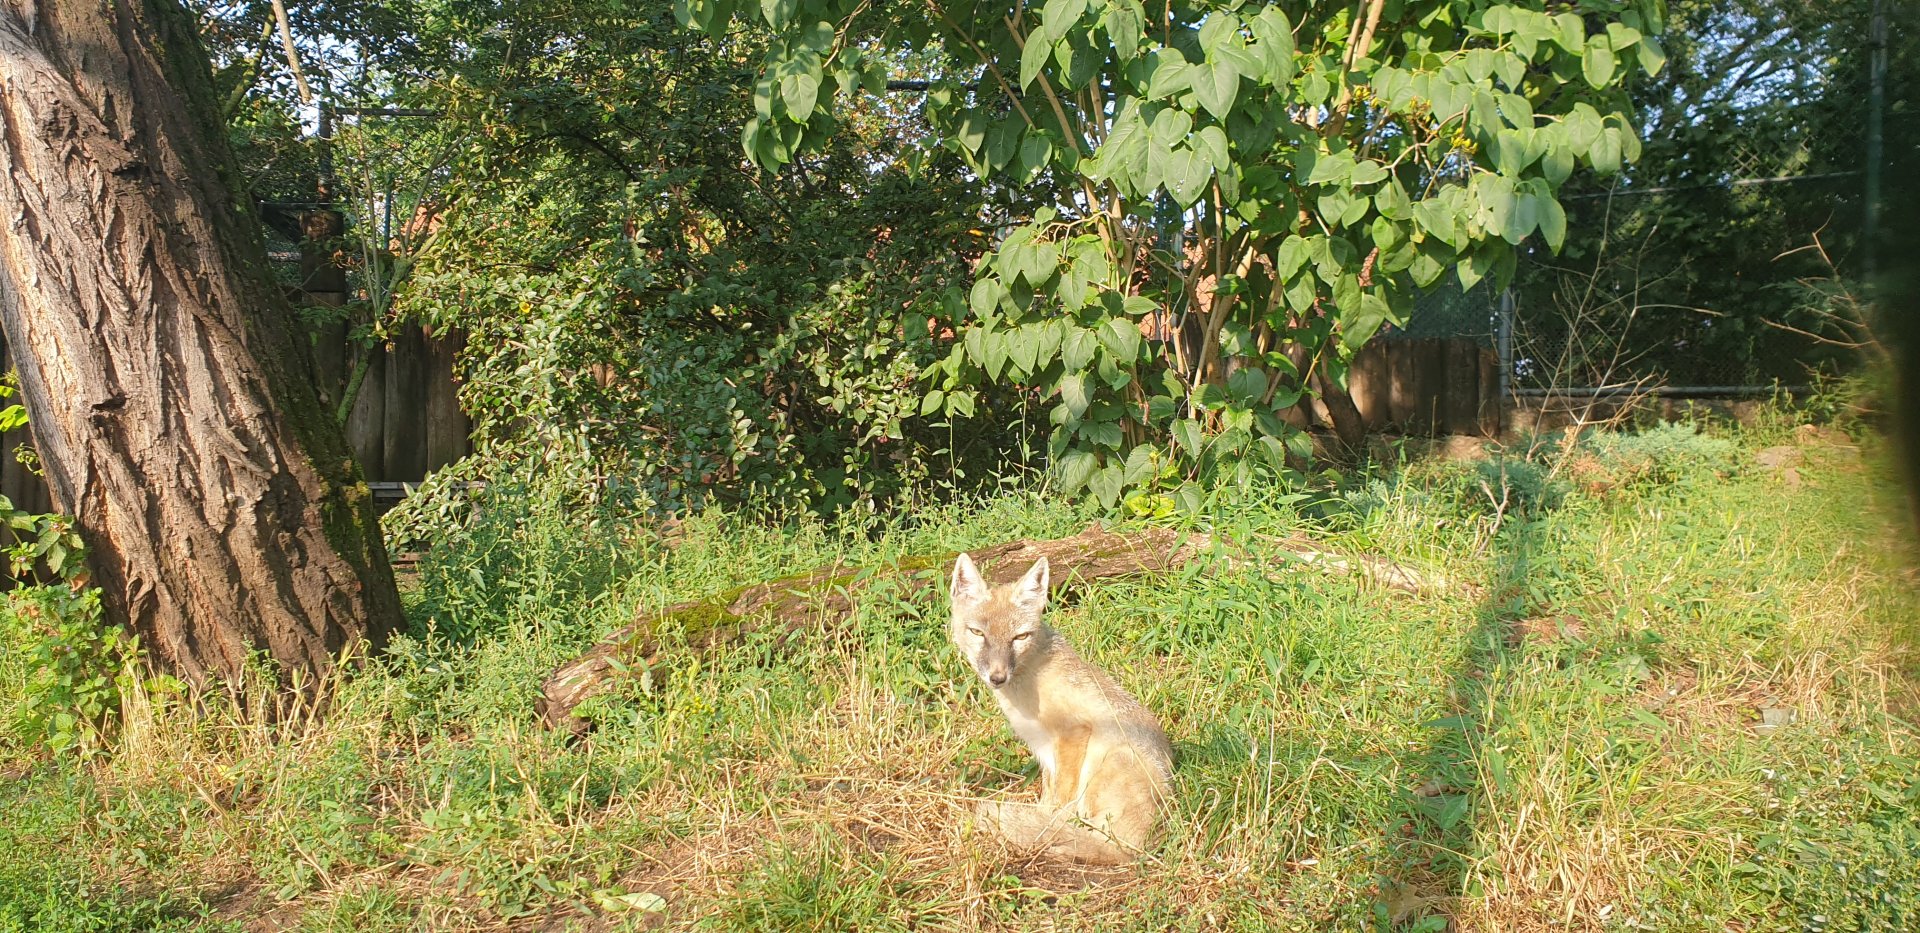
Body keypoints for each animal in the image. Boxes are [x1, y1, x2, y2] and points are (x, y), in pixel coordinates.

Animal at [948, 552, 1174, 865]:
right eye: (978, 633)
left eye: (1019, 637)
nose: (997, 677)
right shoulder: (1043, 748)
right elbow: (1048, 794)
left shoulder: (1073, 731)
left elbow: (1060, 799)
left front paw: (1042, 824)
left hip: (1106, 758)